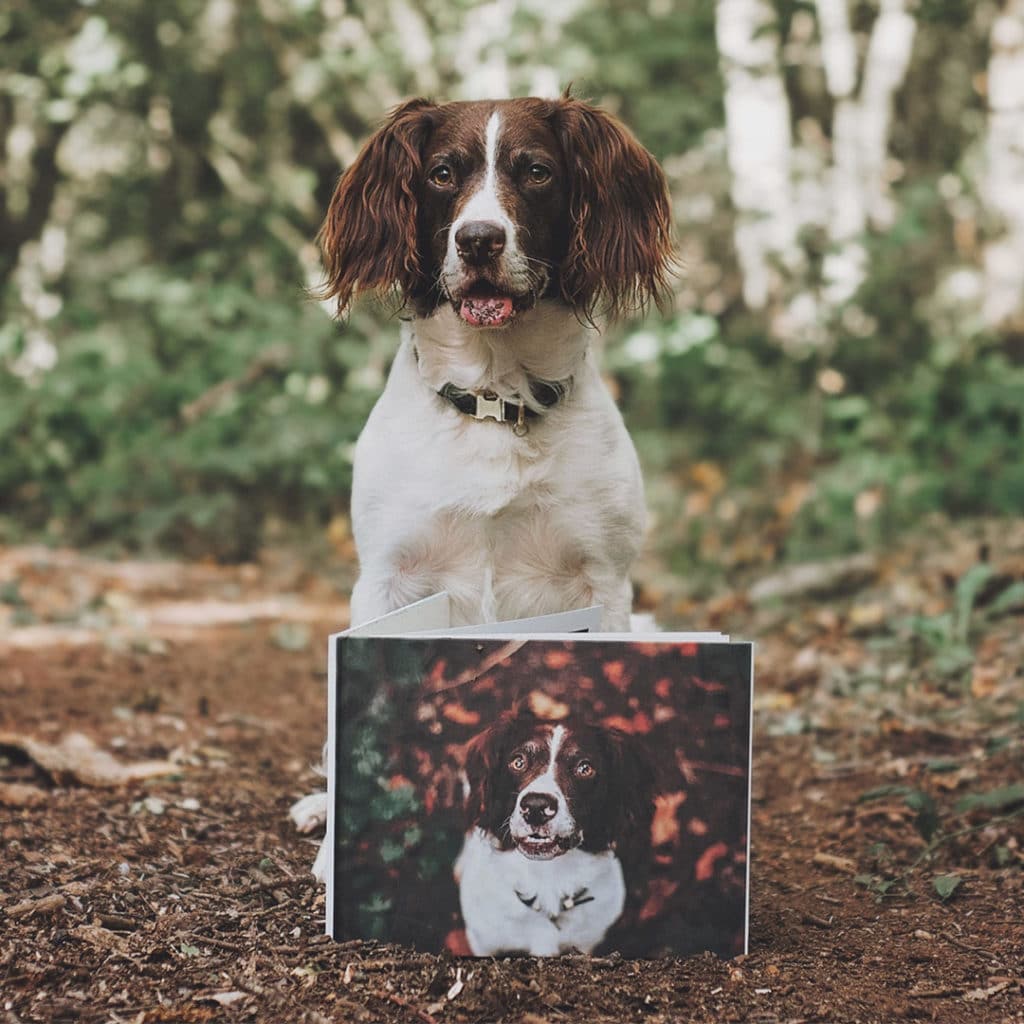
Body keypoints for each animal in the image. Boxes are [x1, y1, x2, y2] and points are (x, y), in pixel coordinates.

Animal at [290, 96, 671, 876]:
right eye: (441, 173)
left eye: (537, 172)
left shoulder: (603, 582)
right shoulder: (389, 580)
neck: (496, 401)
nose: (479, 241)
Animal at [458, 708, 651, 954]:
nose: (536, 807)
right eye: (518, 762)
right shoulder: (482, 940)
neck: (547, 878)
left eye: (585, 768)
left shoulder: (589, 939)